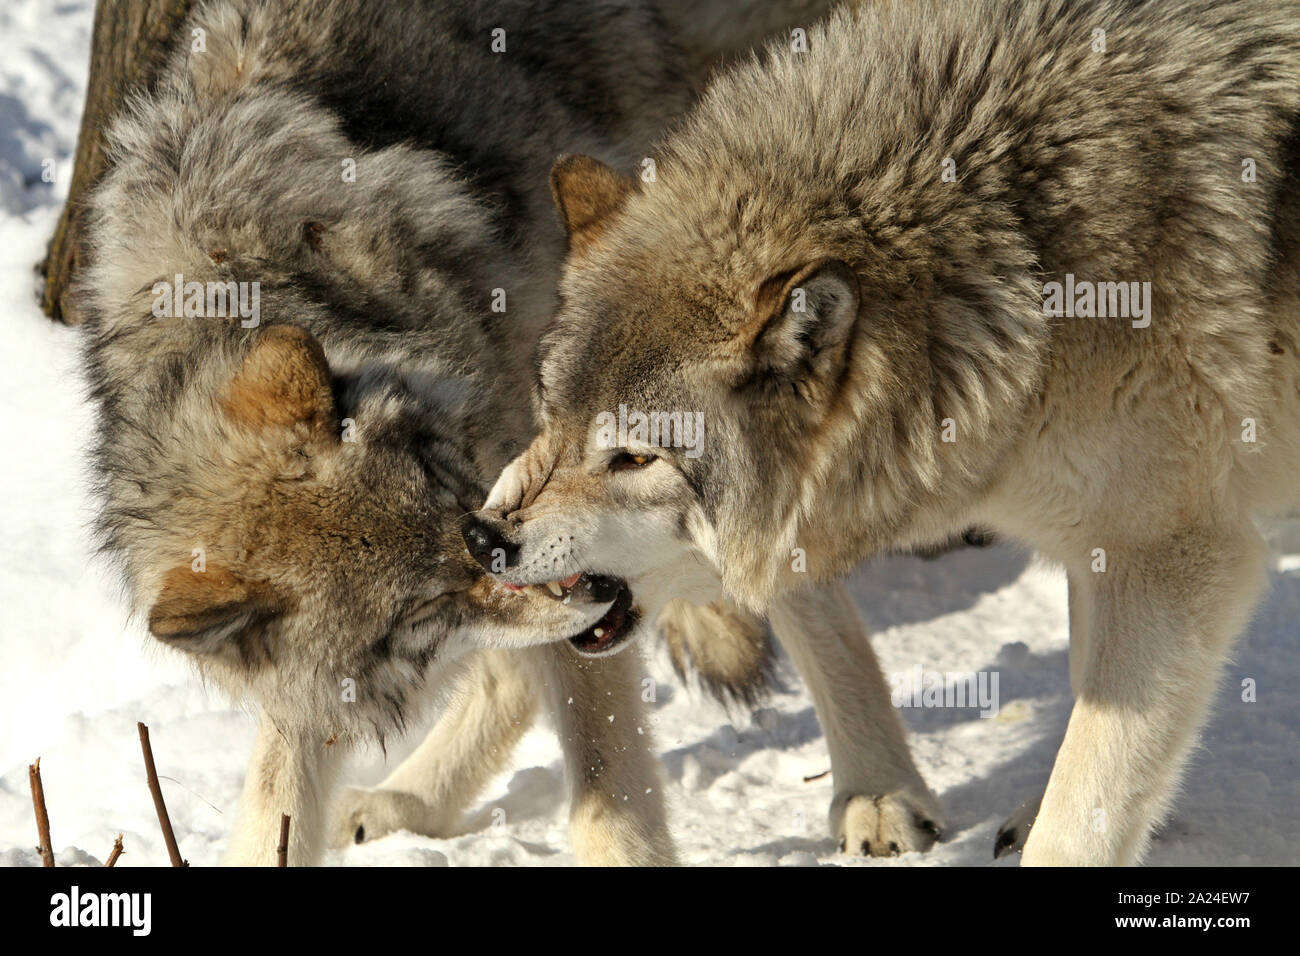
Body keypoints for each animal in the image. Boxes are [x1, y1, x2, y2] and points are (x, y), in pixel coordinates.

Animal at [78, 0, 811, 868]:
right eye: (425, 605)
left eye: (454, 499)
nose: (590, 586)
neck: (241, 273)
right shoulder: (316, 684)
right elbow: (275, 799)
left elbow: (605, 786)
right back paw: (408, 800)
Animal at [473, 0, 1300, 868]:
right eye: (551, 414)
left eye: (634, 456)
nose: (483, 536)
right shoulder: (1102, 535)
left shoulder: (1175, 553)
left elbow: (1091, 793)